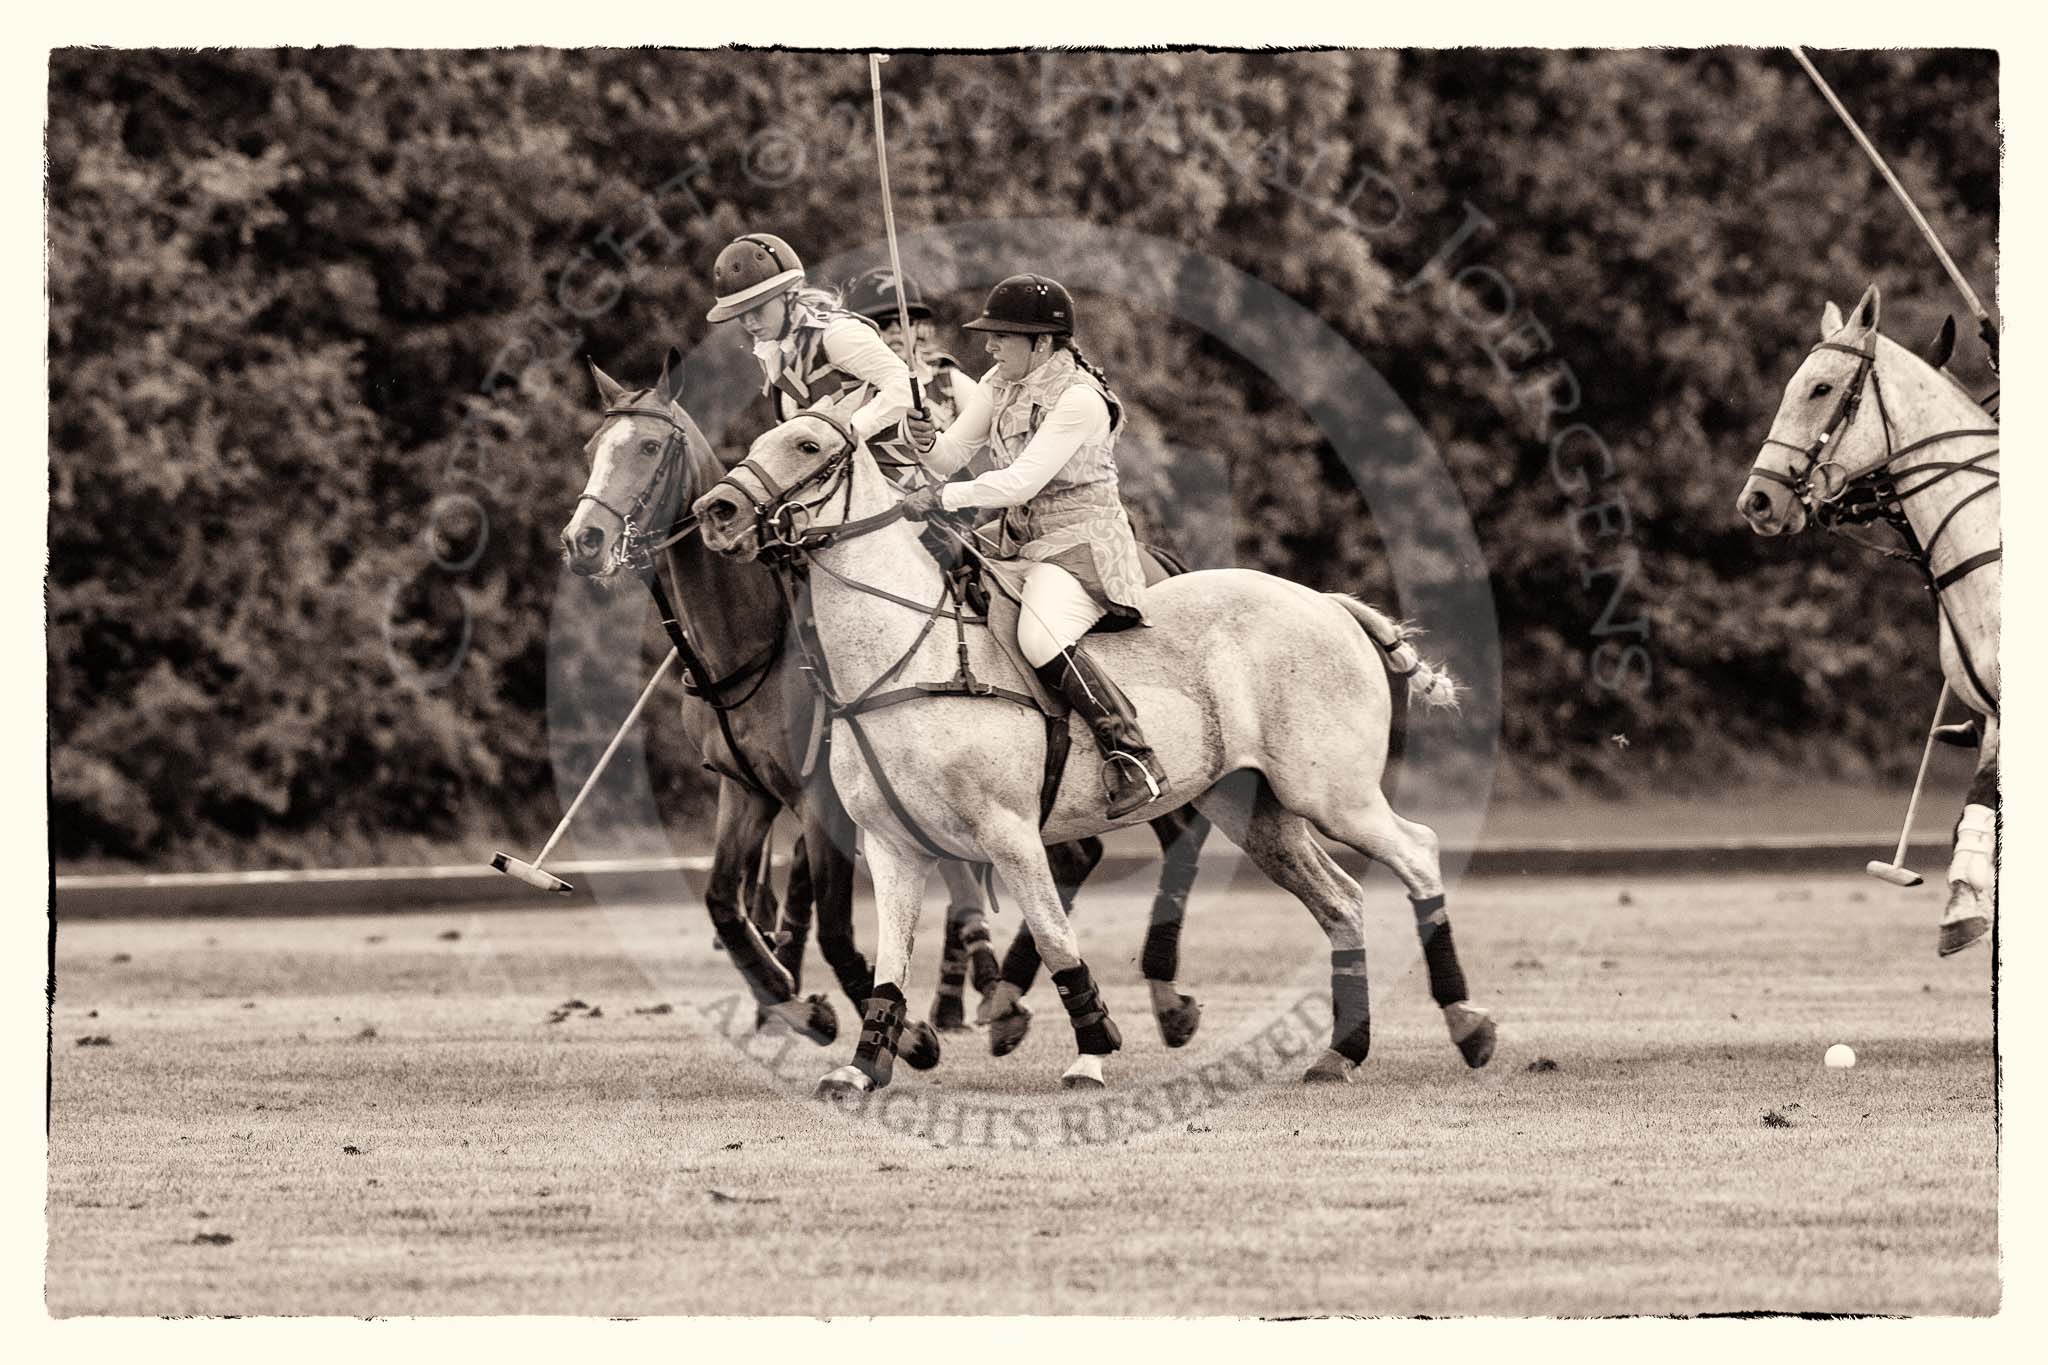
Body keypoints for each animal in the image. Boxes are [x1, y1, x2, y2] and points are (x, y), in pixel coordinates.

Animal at [696, 411, 1499, 1096]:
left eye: (806, 445)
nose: (716, 511)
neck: (905, 659)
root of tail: (1330, 602)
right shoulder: (894, 846)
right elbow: (891, 963)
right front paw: (862, 1068)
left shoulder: (1011, 833)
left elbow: (1057, 940)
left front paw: (1091, 1053)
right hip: (1258, 809)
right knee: (1343, 901)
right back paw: (1341, 1052)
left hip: (1332, 791)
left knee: (1418, 851)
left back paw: (1468, 1025)